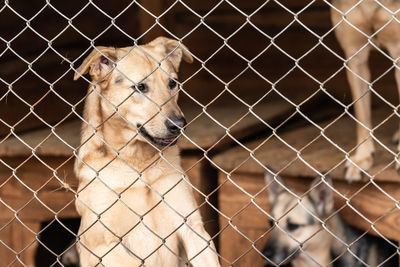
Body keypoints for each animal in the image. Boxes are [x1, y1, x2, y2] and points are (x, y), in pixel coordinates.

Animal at [73, 36, 220, 266]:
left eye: (172, 83)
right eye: (141, 87)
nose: (179, 124)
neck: (138, 164)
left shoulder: (193, 229)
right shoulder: (103, 246)